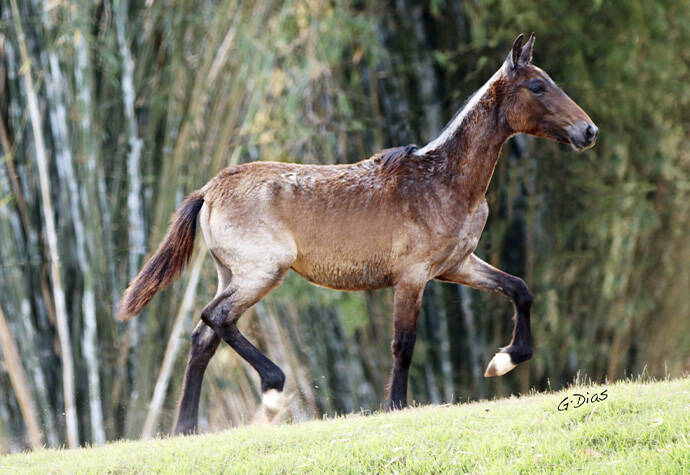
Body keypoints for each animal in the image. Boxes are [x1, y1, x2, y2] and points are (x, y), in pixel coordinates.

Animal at [115, 33, 592, 436]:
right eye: (537, 86)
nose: (588, 131)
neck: (443, 180)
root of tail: (210, 189)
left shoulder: (456, 265)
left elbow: (520, 289)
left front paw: (503, 361)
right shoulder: (412, 277)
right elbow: (403, 344)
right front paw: (396, 405)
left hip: (232, 275)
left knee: (203, 338)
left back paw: (186, 428)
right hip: (261, 273)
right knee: (215, 317)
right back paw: (272, 390)